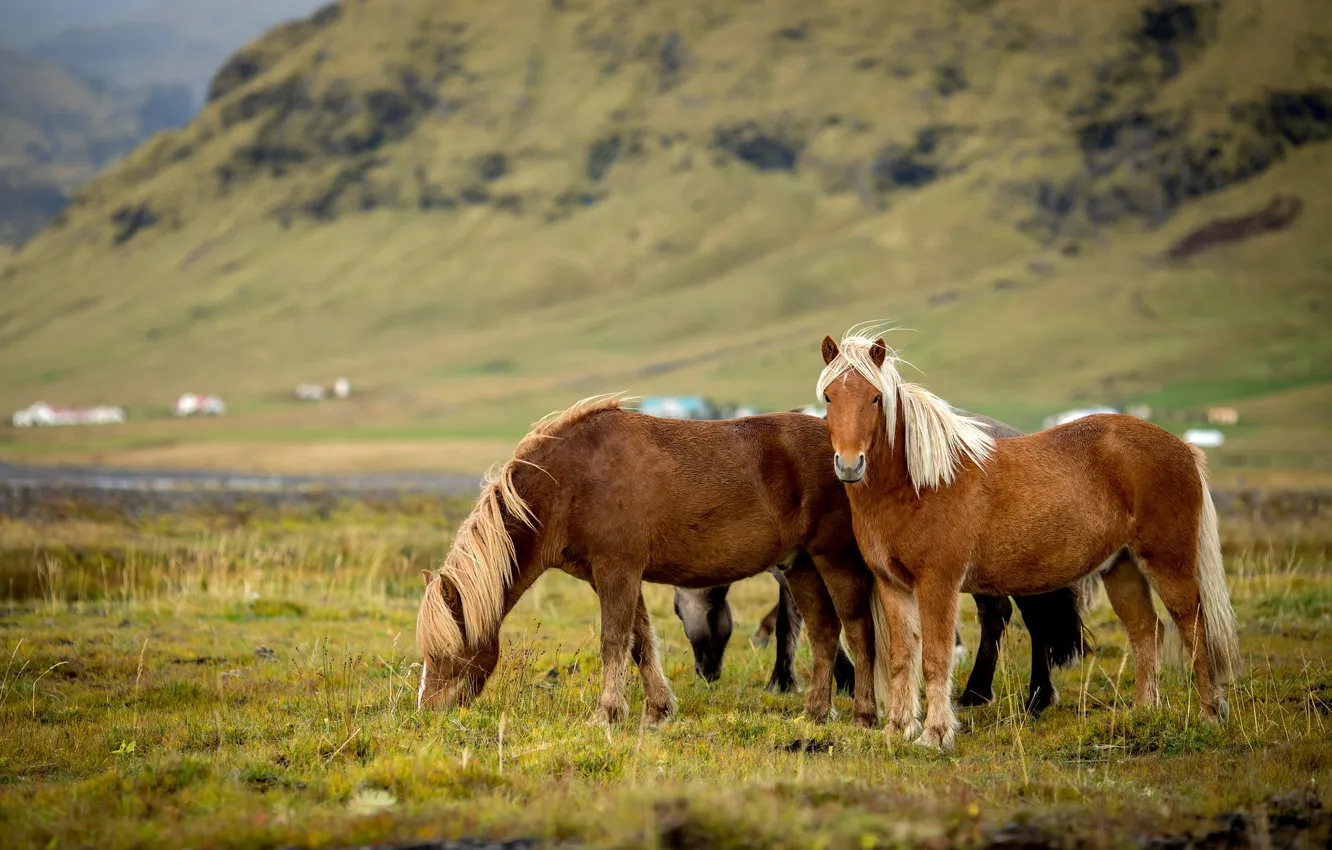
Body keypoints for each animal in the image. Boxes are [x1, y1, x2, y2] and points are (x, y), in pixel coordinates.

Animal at [416, 394, 884, 729]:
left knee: (858, 632)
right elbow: (640, 641)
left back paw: (864, 716)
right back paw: (816, 713)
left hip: (835, 560)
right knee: (824, 634)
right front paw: (657, 710)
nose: (428, 712)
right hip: (800, 566)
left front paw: (606, 714)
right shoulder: (611, 575)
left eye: (447, 652)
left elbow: (613, 641)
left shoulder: (617, 570)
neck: (570, 481)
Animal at [672, 409, 1100, 713]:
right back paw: (978, 692)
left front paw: (837, 679)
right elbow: (796, 625)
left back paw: (1036, 696)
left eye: (677, 612)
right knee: (999, 617)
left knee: (1035, 622)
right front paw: (793, 680)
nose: (705, 673)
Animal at [816, 327, 1241, 749]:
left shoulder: (938, 583)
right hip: (1121, 568)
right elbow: (903, 656)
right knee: (1145, 631)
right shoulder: (892, 585)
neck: (920, 483)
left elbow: (935, 658)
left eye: (875, 397)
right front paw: (897, 729)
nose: (849, 464)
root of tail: (1183, 449)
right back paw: (1143, 712)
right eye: (829, 396)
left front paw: (935, 735)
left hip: (1168, 563)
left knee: (1193, 627)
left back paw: (1210, 715)